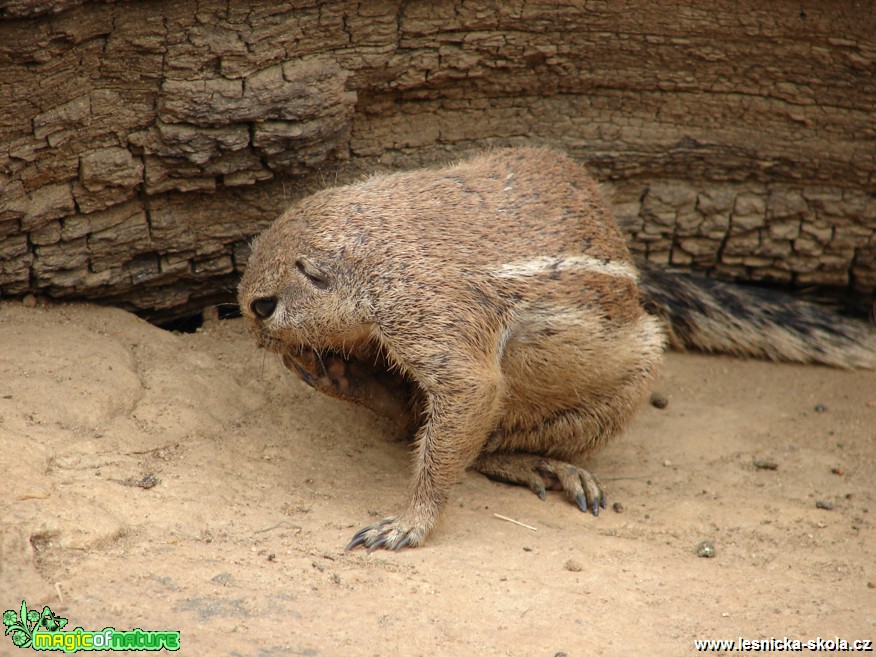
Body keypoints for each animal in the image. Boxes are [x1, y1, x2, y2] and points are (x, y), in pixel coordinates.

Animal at [240, 147, 876, 548]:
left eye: (263, 305)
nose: (254, 334)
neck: (374, 244)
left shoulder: (422, 308)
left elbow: (469, 391)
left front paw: (409, 524)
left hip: (617, 390)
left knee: (478, 438)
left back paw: (539, 463)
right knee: (406, 413)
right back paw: (340, 377)